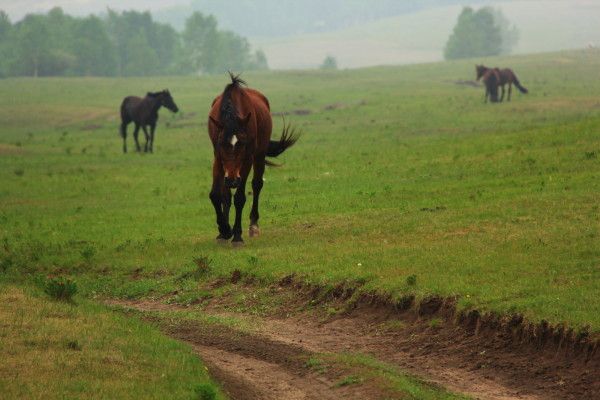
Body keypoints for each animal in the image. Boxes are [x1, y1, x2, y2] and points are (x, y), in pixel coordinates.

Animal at [207, 73, 298, 245]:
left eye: (242, 144)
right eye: (221, 144)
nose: (232, 180)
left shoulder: (247, 160)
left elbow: (240, 197)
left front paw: (236, 235)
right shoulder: (218, 159)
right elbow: (216, 195)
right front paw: (224, 230)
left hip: (259, 156)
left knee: (256, 185)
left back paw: (253, 225)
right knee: (227, 194)